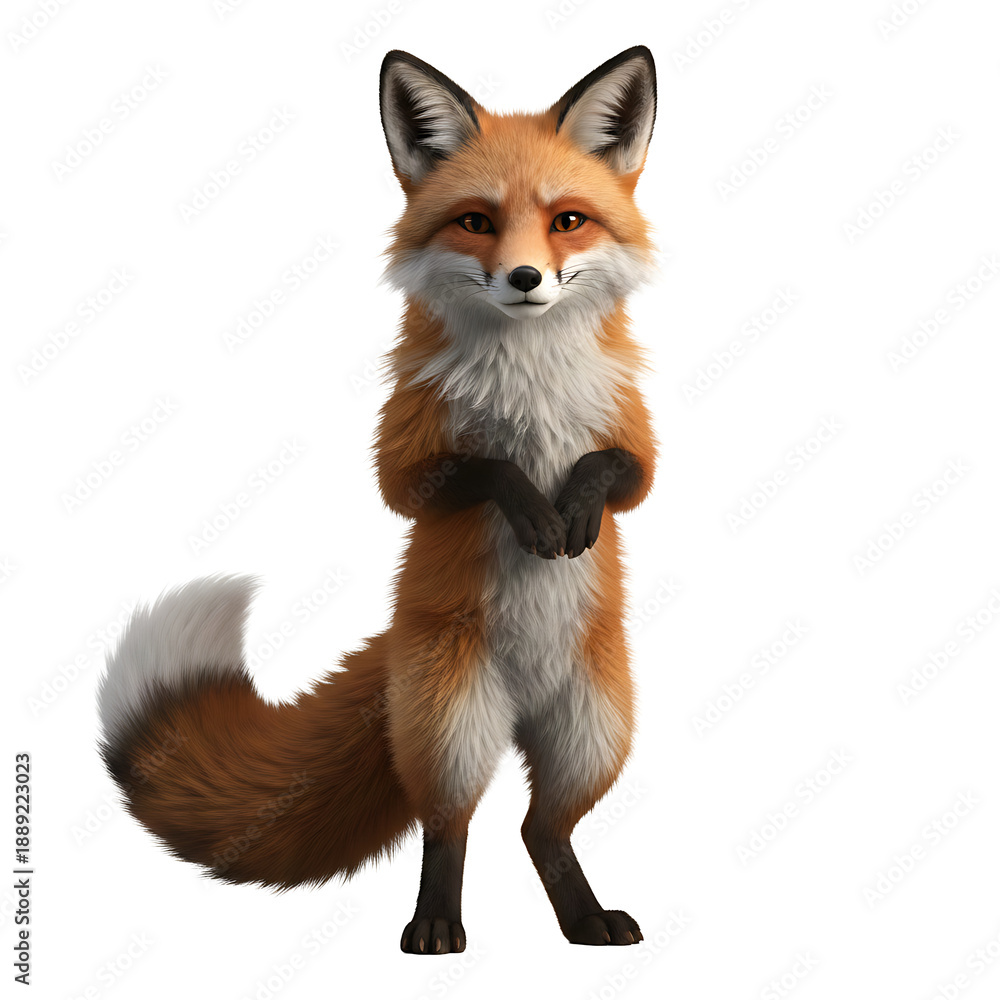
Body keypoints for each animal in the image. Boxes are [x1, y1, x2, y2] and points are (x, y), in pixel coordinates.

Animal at [98, 45, 658, 954]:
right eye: (477, 222)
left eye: (568, 220)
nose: (526, 278)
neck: (530, 376)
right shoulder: (407, 448)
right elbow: (476, 474)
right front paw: (533, 509)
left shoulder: (633, 433)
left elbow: (617, 472)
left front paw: (573, 507)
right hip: (451, 728)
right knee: (450, 824)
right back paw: (434, 926)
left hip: (594, 734)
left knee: (542, 827)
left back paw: (584, 920)